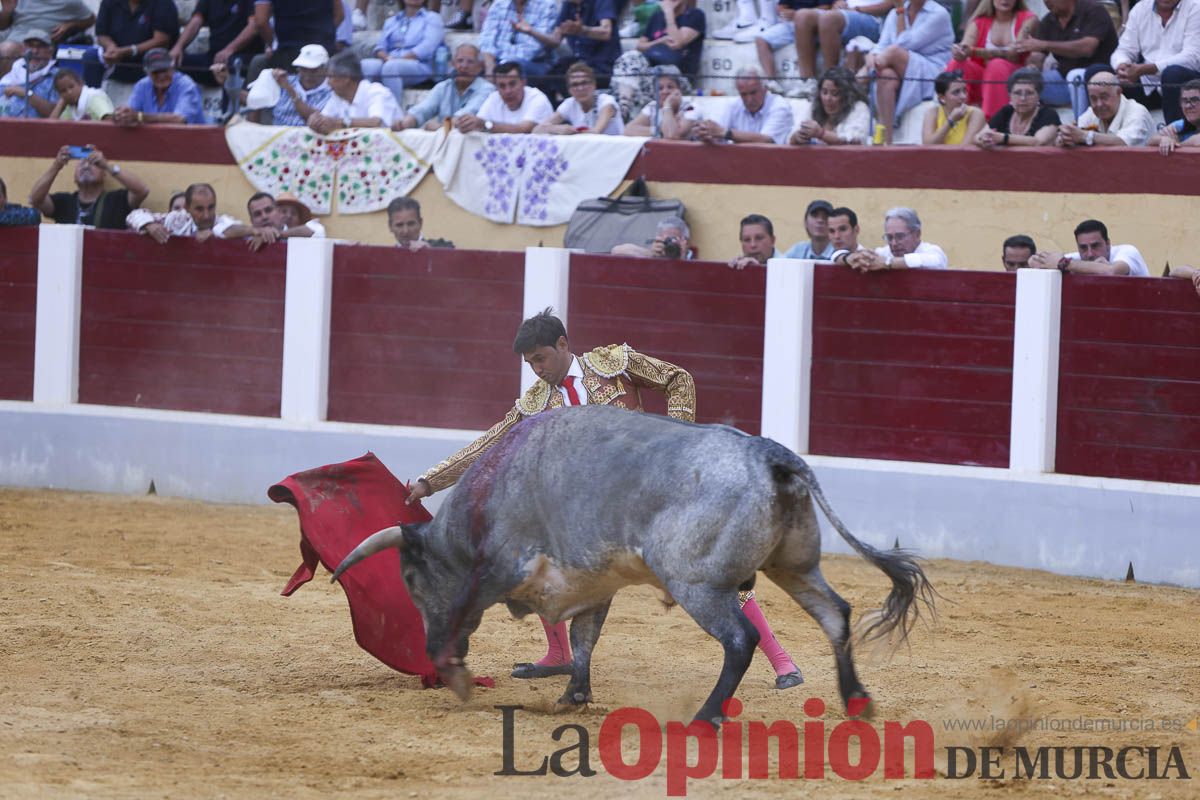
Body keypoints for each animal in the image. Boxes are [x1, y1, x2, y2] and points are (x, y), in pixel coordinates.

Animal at [333, 407, 931, 724]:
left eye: (412, 580)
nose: (431, 646)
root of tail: (774, 457)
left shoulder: (505, 568)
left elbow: (479, 611)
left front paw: (457, 677)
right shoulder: (591, 583)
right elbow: (584, 638)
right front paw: (573, 695)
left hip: (696, 582)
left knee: (740, 639)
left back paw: (707, 716)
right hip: (796, 566)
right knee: (834, 614)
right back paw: (856, 701)